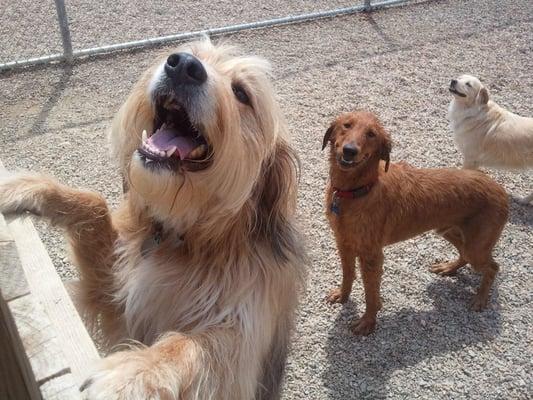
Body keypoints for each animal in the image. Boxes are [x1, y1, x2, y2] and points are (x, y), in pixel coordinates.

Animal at [0, 38, 306, 400]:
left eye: (242, 93)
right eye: (191, 53)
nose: (183, 65)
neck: (181, 236)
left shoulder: (243, 336)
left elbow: (191, 345)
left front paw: (131, 374)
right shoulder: (114, 303)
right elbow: (95, 203)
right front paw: (22, 187)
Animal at [320, 111, 508, 336]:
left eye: (371, 134)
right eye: (346, 125)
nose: (349, 150)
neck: (356, 191)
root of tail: (501, 189)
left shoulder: (372, 256)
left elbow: (371, 295)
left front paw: (367, 322)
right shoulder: (344, 243)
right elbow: (348, 274)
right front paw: (343, 295)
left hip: (476, 247)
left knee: (493, 267)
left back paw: (480, 299)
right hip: (449, 231)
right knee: (465, 254)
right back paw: (449, 268)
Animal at [448, 74, 532, 203]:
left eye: (468, 84)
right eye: (460, 77)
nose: (453, 81)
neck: (473, 111)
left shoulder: (470, 158)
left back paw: (523, 200)